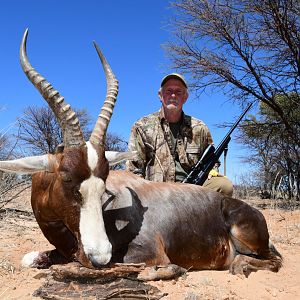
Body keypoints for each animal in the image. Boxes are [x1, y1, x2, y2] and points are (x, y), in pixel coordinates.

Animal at [0, 29, 282, 280]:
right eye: (67, 178)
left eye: (104, 182)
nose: (100, 256)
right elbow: (30, 259)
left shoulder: (147, 253)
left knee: (274, 260)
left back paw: (239, 265)